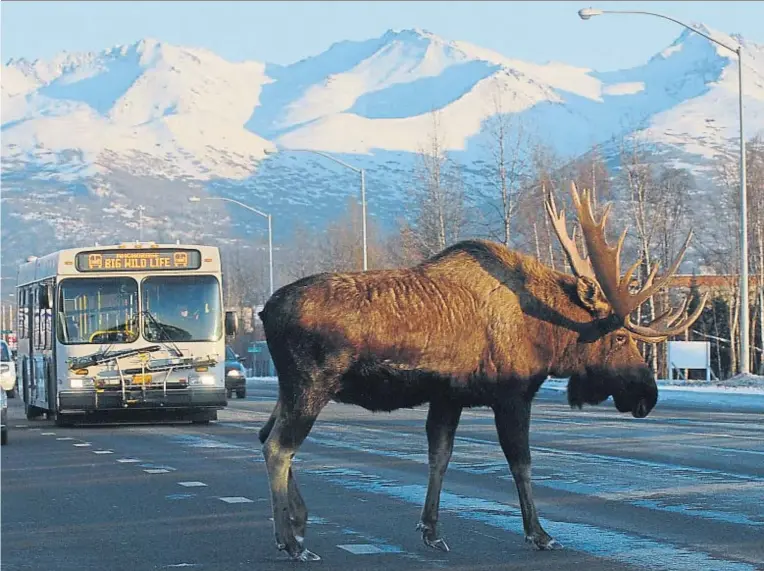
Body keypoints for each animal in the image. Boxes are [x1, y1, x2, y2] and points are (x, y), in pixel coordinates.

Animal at [256, 183, 704, 564]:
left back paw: (299, 519)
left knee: (265, 434)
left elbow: (440, 456)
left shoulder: (448, 397)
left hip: (288, 388)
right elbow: (521, 462)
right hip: (312, 384)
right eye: (620, 338)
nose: (648, 394)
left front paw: (432, 530)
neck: (546, 336)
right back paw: (290, 542)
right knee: (279, 446)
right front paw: (539, 533)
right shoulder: (513, 396)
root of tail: (264, 311)